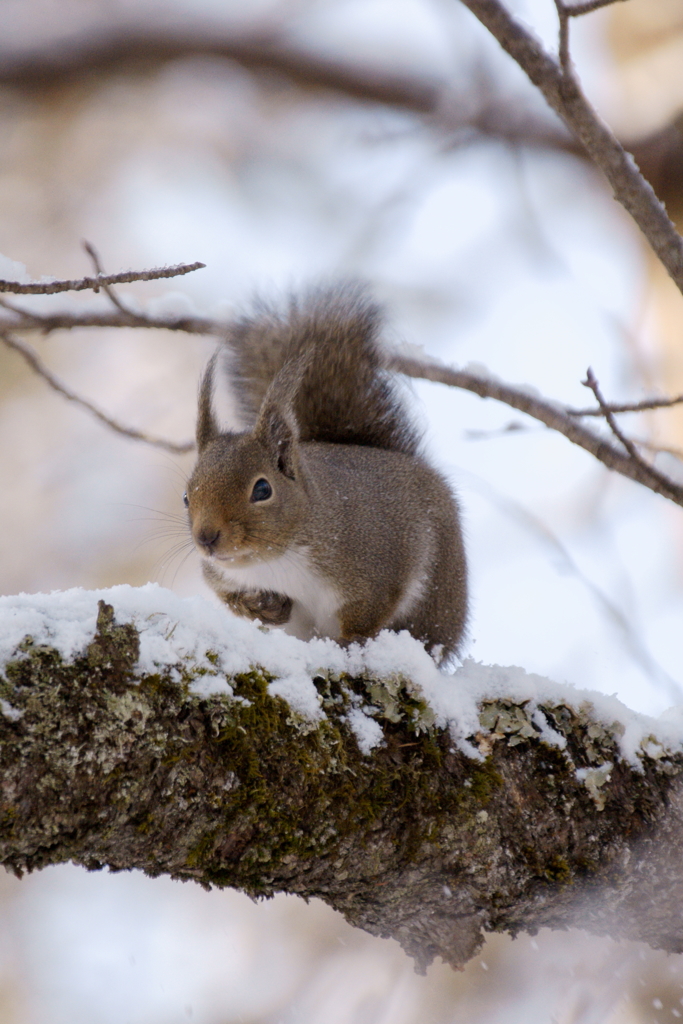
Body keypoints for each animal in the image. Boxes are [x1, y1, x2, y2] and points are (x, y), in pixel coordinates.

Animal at [184, 282, 466, 663]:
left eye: (262, 490)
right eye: (186, 497)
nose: (206, 538)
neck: (283, 556)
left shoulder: (377, 564)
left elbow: (369, 609)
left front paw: (351, 641)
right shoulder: (221, 575)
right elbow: (228, 595)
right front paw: (261, 606)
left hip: (437, 599)